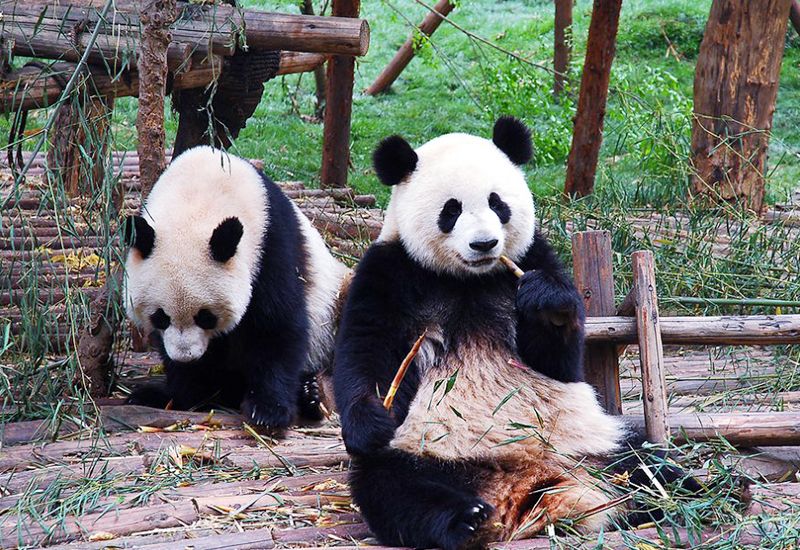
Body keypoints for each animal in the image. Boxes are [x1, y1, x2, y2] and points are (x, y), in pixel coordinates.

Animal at [123, 148, 348, 432]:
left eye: (206, 317)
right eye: (160, 317)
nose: (186, 357)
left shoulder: (271, 248)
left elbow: (275, 326)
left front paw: (267, 411)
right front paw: (185, 394)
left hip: (333, 302)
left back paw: (314, 394)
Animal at [334, 117, 696, 550]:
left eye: (497, 203)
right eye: (451, 210)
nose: (484, 243)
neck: (468, 280)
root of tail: (536, 480)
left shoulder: (532, 257)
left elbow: (559, 360)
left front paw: (547, 303)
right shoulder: (391, 271)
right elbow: (367, 350)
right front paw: (371, 419)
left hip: (596, 439)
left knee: (645, 460)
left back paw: (703, 493)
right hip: (426, 451)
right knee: (395, 489)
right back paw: (466, 520)